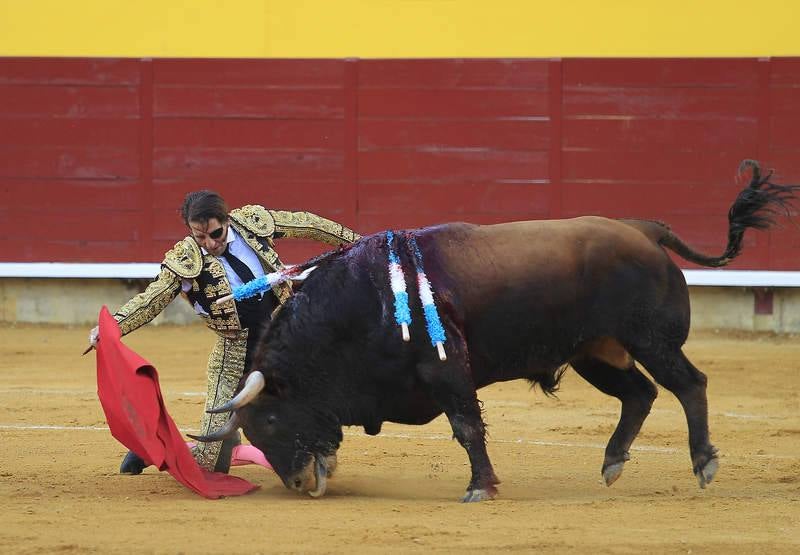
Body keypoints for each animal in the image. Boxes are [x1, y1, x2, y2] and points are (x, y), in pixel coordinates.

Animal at [192, 159, 792, 502]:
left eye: (270, 418)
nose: (295, 484)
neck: (362, 305)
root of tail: (642, 229)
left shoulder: (445, 368)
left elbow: (466, 427)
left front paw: (480, 487)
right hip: (595, 352)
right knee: (640, 393)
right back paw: (613, 462)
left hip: (652, 341)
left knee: (689, 384)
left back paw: (704, 463)